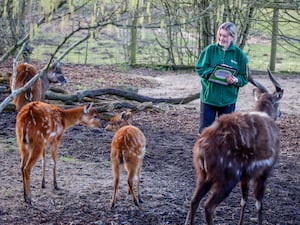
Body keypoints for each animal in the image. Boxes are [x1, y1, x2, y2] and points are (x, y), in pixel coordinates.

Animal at [188, 69, 284, 225]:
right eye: (278, 103)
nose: (280, 113)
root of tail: (201, 148)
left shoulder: (246, 175)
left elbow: (243, 199)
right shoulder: (264, 171)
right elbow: (259, 202)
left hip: (203, 176)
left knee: (193, 201)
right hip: (228, 178)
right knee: (208, 207)